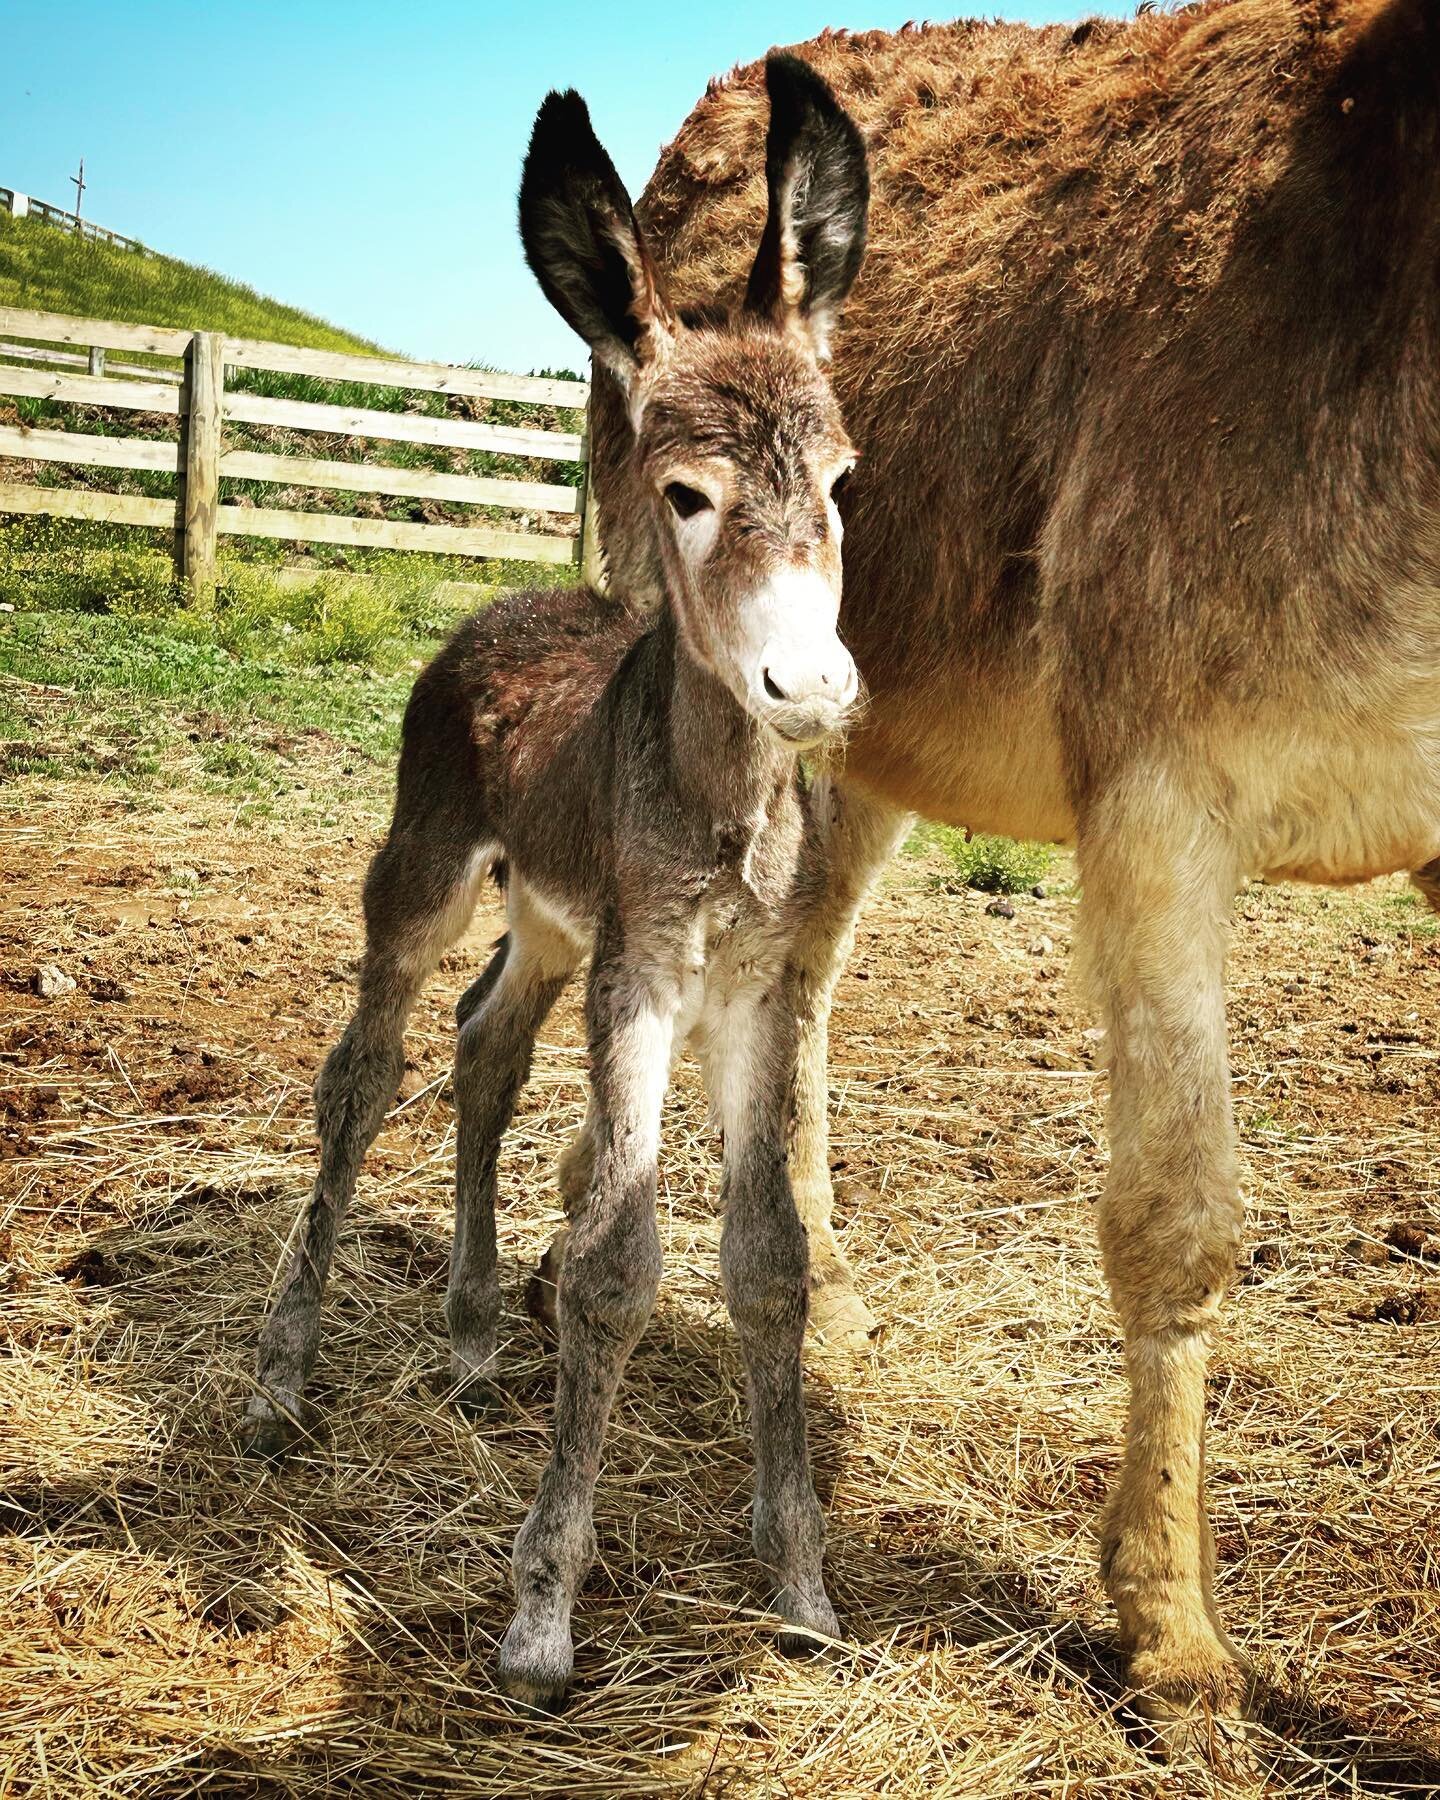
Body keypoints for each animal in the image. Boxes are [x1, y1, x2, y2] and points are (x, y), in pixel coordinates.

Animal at [243, 56, 871, 1706]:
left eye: (844, 483)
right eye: (687, 495)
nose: (811, 688)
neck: (718, 806)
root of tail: (502, 601)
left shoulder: (750, 989)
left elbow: (767, 1259)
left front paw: (801, 1588)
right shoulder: (642, 976)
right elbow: (614, 1261)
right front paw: (540, 1614)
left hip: (539, 917)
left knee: (484, 1048)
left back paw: (469, 1334)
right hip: (429, 869)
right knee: (365, 1072)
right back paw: (282, 1375)